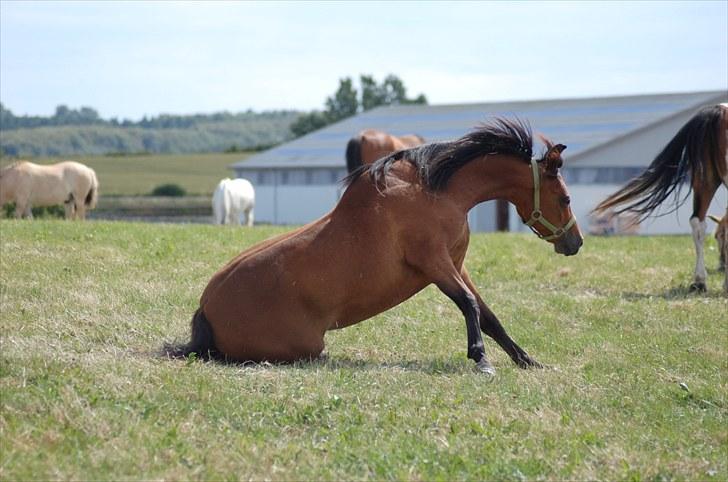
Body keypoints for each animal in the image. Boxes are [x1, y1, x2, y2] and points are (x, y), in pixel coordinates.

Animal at [168, 118, 584, 374]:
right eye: (565, 198)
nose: (575, 242)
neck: (436, 192)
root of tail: (206, 310)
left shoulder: (455, 263)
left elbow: (488, 315)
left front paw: (526, 360)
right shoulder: (434, 262)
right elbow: (468, 304)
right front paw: (481, 360)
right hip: (306, 345)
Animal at [592, 105, 728, 292]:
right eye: (716, 237)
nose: (721, 264)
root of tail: (719, 110)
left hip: (706, 180)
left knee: (697, 224)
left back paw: (700, 281)